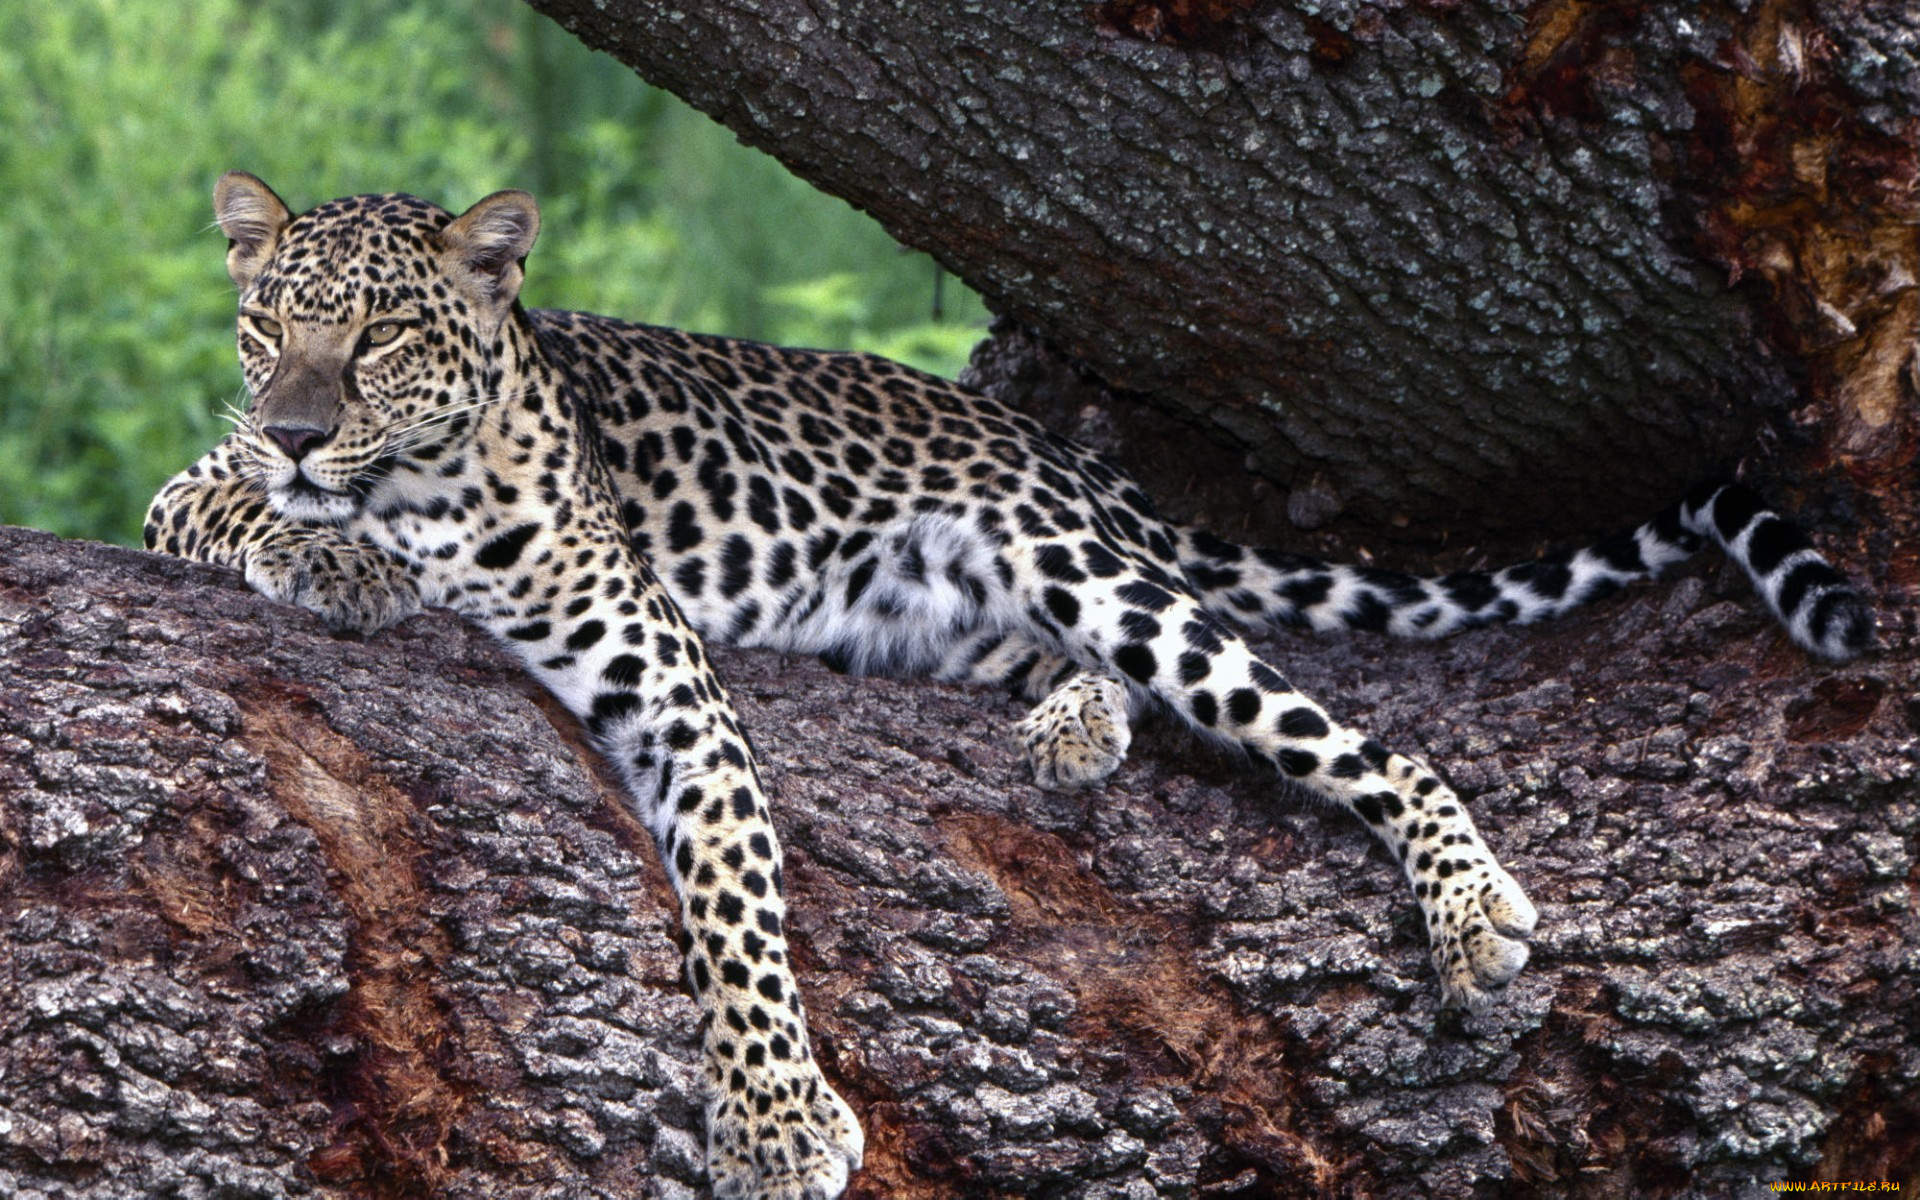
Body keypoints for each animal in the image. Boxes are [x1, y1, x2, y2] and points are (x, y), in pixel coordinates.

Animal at [146, 174, 1875, 1199]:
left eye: (379, 334)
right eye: (267, 326)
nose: (301, 430)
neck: (426, 481)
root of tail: (1049, 447)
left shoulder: (671, 685)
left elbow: (737, 905)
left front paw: (774, 1120)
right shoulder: (188, 487)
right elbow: (232, 510)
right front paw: (336, 556)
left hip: (1088, 570)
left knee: (1352, 731)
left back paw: (1461, 900)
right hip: (942, 614)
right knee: (1099, 675)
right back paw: (1071, 720)